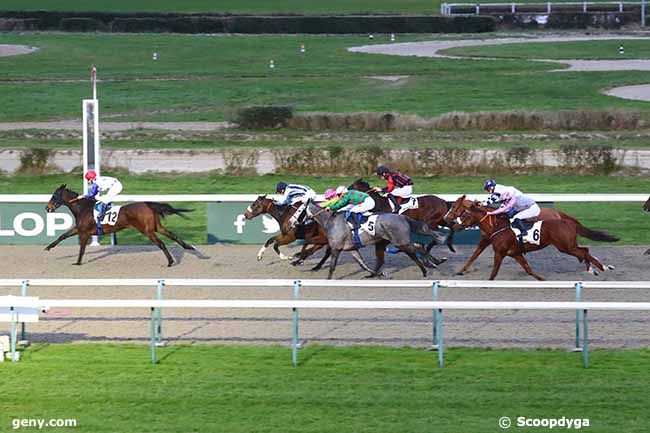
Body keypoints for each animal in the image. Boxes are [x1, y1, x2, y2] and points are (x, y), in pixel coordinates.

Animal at [44, 184, 195, 264]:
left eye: (54, 196)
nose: (47, 208)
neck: (83, 208)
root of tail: (147, 204)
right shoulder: (79, 229)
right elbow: (63, 236)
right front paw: (48, 247)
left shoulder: (84, 232)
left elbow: (82, 248)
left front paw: (78, 262)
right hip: (156, 227)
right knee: (172, 235)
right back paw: (188, 247)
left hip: (147, 230)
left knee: (161, 243)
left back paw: (170, 261)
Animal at [304, 200, 446, 278]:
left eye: (301, 210)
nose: (301, 221)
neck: (330, 221)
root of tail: (403, 217)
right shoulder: (351, 249)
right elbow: (362, 264)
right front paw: (376, 274)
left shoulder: (336, 248)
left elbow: (332, 266)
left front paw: (327, 279)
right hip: (397, 242)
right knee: (416, 249)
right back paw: (429, 266)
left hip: (400, 242)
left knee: (416, 249)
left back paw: (429, 265)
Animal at [442, 196, 616, 280]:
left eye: (458, 209)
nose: (450, 222)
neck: (497, 226)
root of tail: (565, 220)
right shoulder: (514, 253)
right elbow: (528, 269)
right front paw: (461, 271)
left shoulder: (500, 252)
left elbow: (493, 273)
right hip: (568, 246)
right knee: (584, 251)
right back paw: (594, 269)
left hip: (565, 246)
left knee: (584, 252)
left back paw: (602, 268)